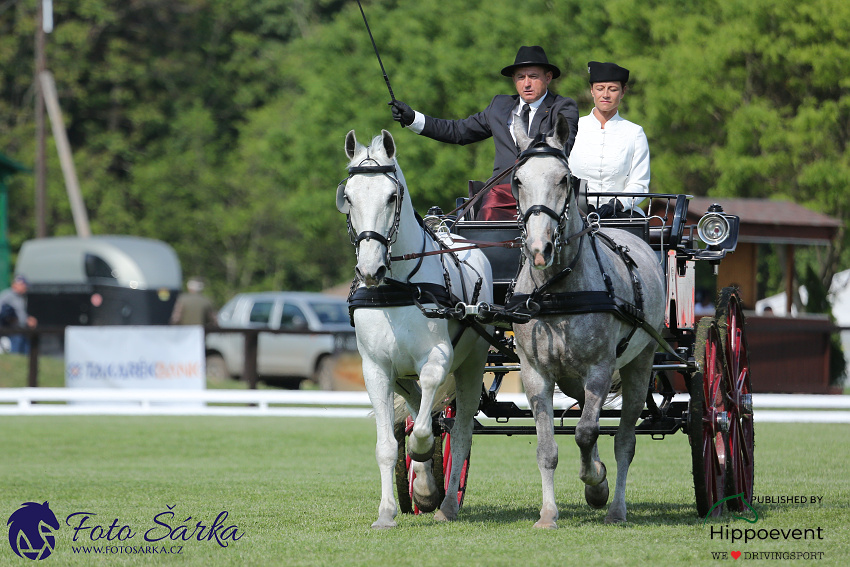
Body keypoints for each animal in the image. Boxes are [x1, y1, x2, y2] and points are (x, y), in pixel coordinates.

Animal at [336, 129, 490, 528]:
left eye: (392, 196)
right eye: (349, 196)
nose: (370, 269)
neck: (398, 288)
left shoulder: (437, 360)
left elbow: (424, 432)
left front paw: (425, 471)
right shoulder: (377, 370)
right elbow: (388, 445)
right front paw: (389, 510)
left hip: (471, 366)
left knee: (460, 432)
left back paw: (447, 503)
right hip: (405, 380)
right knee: (422, 412)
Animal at [506, 116, 664, 528]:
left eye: (564, 178)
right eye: (518, 180)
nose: (540, 249)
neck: (555, 290)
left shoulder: (600, 368)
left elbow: (587, 431)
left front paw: (595, 484)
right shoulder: (535, 373)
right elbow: (548, 447)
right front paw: (548, 514)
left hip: (640, 363)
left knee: (624, 440)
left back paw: (616, 508)